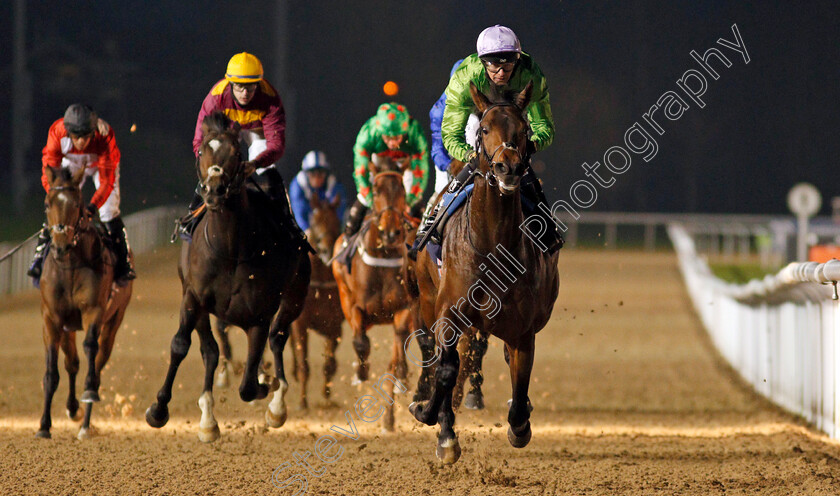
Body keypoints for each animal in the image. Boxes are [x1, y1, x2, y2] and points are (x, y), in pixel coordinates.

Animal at [37, 166, 133, 438]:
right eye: (47, 204)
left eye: (77, 204)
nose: (60, 245)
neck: (69, 266)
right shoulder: (51, 317)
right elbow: (52, 370)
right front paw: (44, 426)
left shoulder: (94, 311)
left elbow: (91, 350)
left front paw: (87, 396)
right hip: (68, 326)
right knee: (72, 363)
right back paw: (73, 409)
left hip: (115, 319)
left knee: (98, 362)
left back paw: (85, 423)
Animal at [146, 112, 310, 442]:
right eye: (201, 151)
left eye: (235, 153)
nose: (214, 190)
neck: (230, 248)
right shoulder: (193, 296)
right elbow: (181, 345)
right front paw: (158, 409)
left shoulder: (260, 314)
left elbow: (248, 385)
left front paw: (266, 385)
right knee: (210, 351)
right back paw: (208, 420)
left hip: (295, 298)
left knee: (277, 338)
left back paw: (276, 401)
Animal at [288, 192, 342, 408]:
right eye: (315, 220)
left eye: (336, 222)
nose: (327, 250)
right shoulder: (300, 324)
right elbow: (304, 364)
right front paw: (303, 402)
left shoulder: (334, 325)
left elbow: (330, 364)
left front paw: (326, 394)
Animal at [332, 153, 416, 432]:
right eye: (376, 190)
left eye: (402, 189)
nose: (390, 233)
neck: (383, 256)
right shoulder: (353, 306)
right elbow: (360, 342)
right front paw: (360, 372)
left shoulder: (405, 308)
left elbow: (399, 343)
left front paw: (402, 377)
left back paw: (389, 417)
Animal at [406, 82, 556, 464]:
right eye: (485, 129)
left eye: (525, 130)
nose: (508, 167)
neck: (492, 247)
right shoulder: (449, 312)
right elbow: (446, 369)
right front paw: (433, 420)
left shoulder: (523, 330)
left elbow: (519, 382)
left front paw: (520, 425)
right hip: (426, 299)